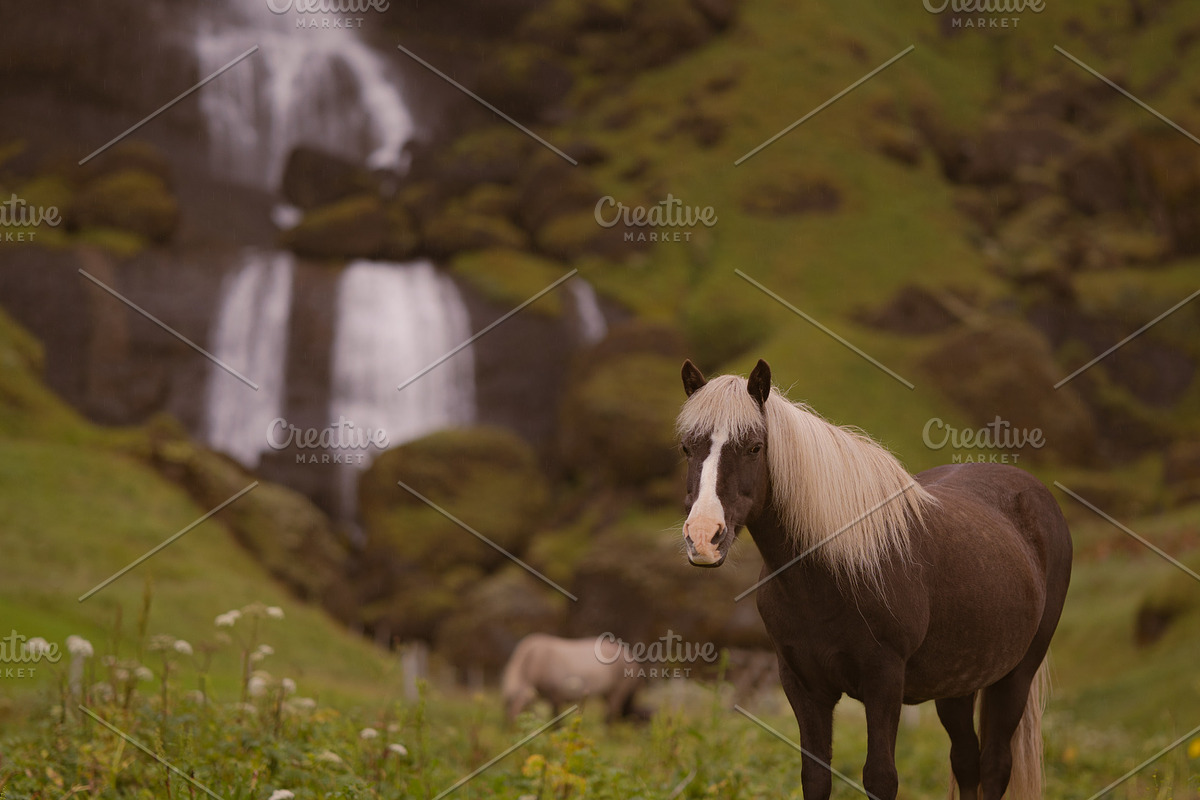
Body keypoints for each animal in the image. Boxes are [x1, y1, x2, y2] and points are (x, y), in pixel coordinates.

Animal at [501, 634, 643, 724]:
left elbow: (556, 718)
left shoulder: (556, 695)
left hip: (618, 692)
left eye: (519, 711)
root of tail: (631, 656)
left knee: (611, 714)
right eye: (506, 709)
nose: (513, 730)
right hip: (606, 693)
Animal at [676, 359, 1072, 800]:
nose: (703, 537)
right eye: (687, 447)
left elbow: (880, 777)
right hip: (958, 684)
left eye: (754, 447)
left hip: (1015, 676)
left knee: (995, 765)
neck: (829, 576)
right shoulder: (802, 685)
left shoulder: (883, 683)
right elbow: (815, 777)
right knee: (967, 762)